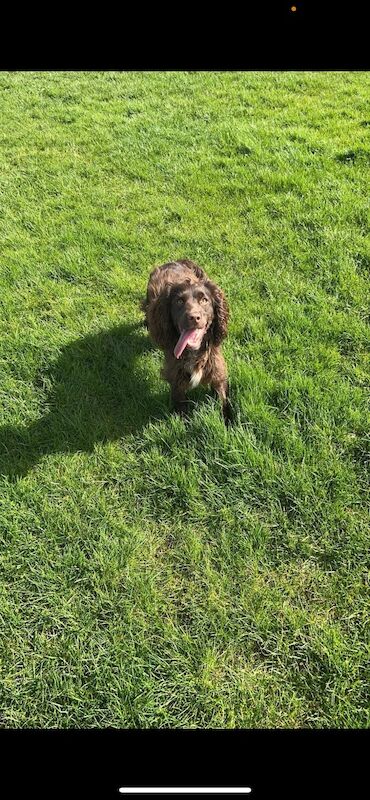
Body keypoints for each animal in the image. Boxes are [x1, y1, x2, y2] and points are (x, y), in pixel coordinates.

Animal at [141, 260, 231, 424]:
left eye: (204, 300)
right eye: (179, 301)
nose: (194, 317)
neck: (194, 353)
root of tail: (173, 261)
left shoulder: (217, 370)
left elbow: (224, 402)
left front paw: (230, 425)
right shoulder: (176, 380)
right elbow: (182, 409)